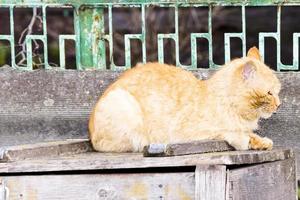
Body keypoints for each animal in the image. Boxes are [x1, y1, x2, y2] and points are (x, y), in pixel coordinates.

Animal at [88, 47, 282, 152]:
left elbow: (250, 134)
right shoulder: (192, 133)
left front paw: (261, 141)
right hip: (124, 105)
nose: (279, 105)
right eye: (270, 93)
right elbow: (232, 132)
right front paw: (246, 140)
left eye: (278, 91)